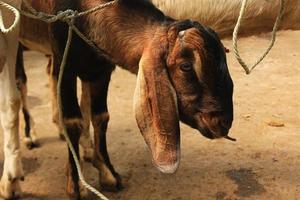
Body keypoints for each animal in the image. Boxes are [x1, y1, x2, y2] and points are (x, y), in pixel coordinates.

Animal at [19, 0, 234, 198]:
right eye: (186, 66)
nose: (223, 122)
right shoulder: (65, 65)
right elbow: (72, 121)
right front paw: (76, 184)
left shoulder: (102, 69)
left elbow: (101, 117)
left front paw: (107, 173)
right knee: (21, 82)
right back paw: (29, 136)